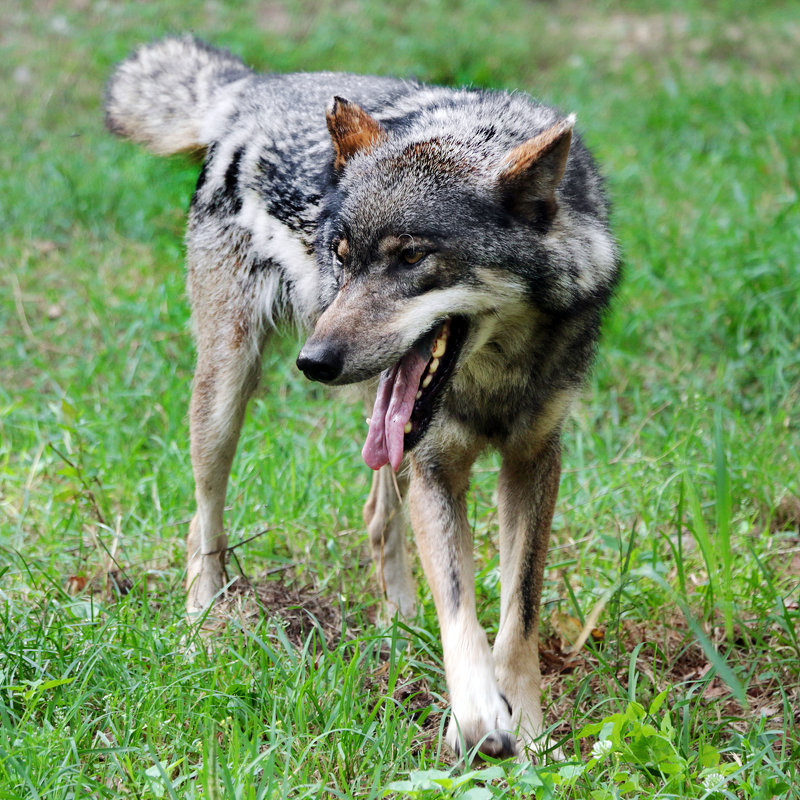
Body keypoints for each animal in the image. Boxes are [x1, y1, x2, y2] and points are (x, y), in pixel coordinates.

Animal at [106, 37, 620, 760]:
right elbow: (461, 607)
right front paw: (477, 718)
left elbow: (517, 613)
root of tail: (249, 88)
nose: (314, 362)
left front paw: (529, 730)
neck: (495, 375)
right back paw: (202, 626)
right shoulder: (437, 467)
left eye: (411, 258)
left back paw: (398, 623)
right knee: (202, 517)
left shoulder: (533, 459)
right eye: (342, 255)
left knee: (378, 515)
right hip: (225, 397)